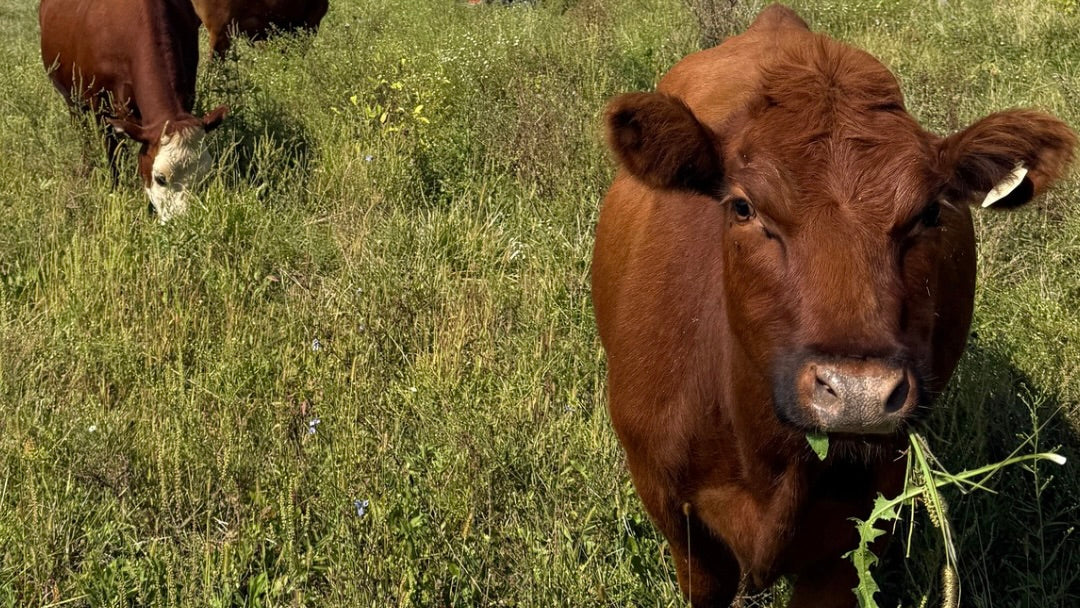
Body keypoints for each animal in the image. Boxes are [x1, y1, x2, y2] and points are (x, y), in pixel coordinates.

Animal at [40, 0, 228, 222]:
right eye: (160, 178)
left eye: (205, 175)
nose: (183, 222)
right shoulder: (102, 108)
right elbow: (113, 153)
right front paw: (117, 190)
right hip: (71, 98)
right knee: (82, 131)